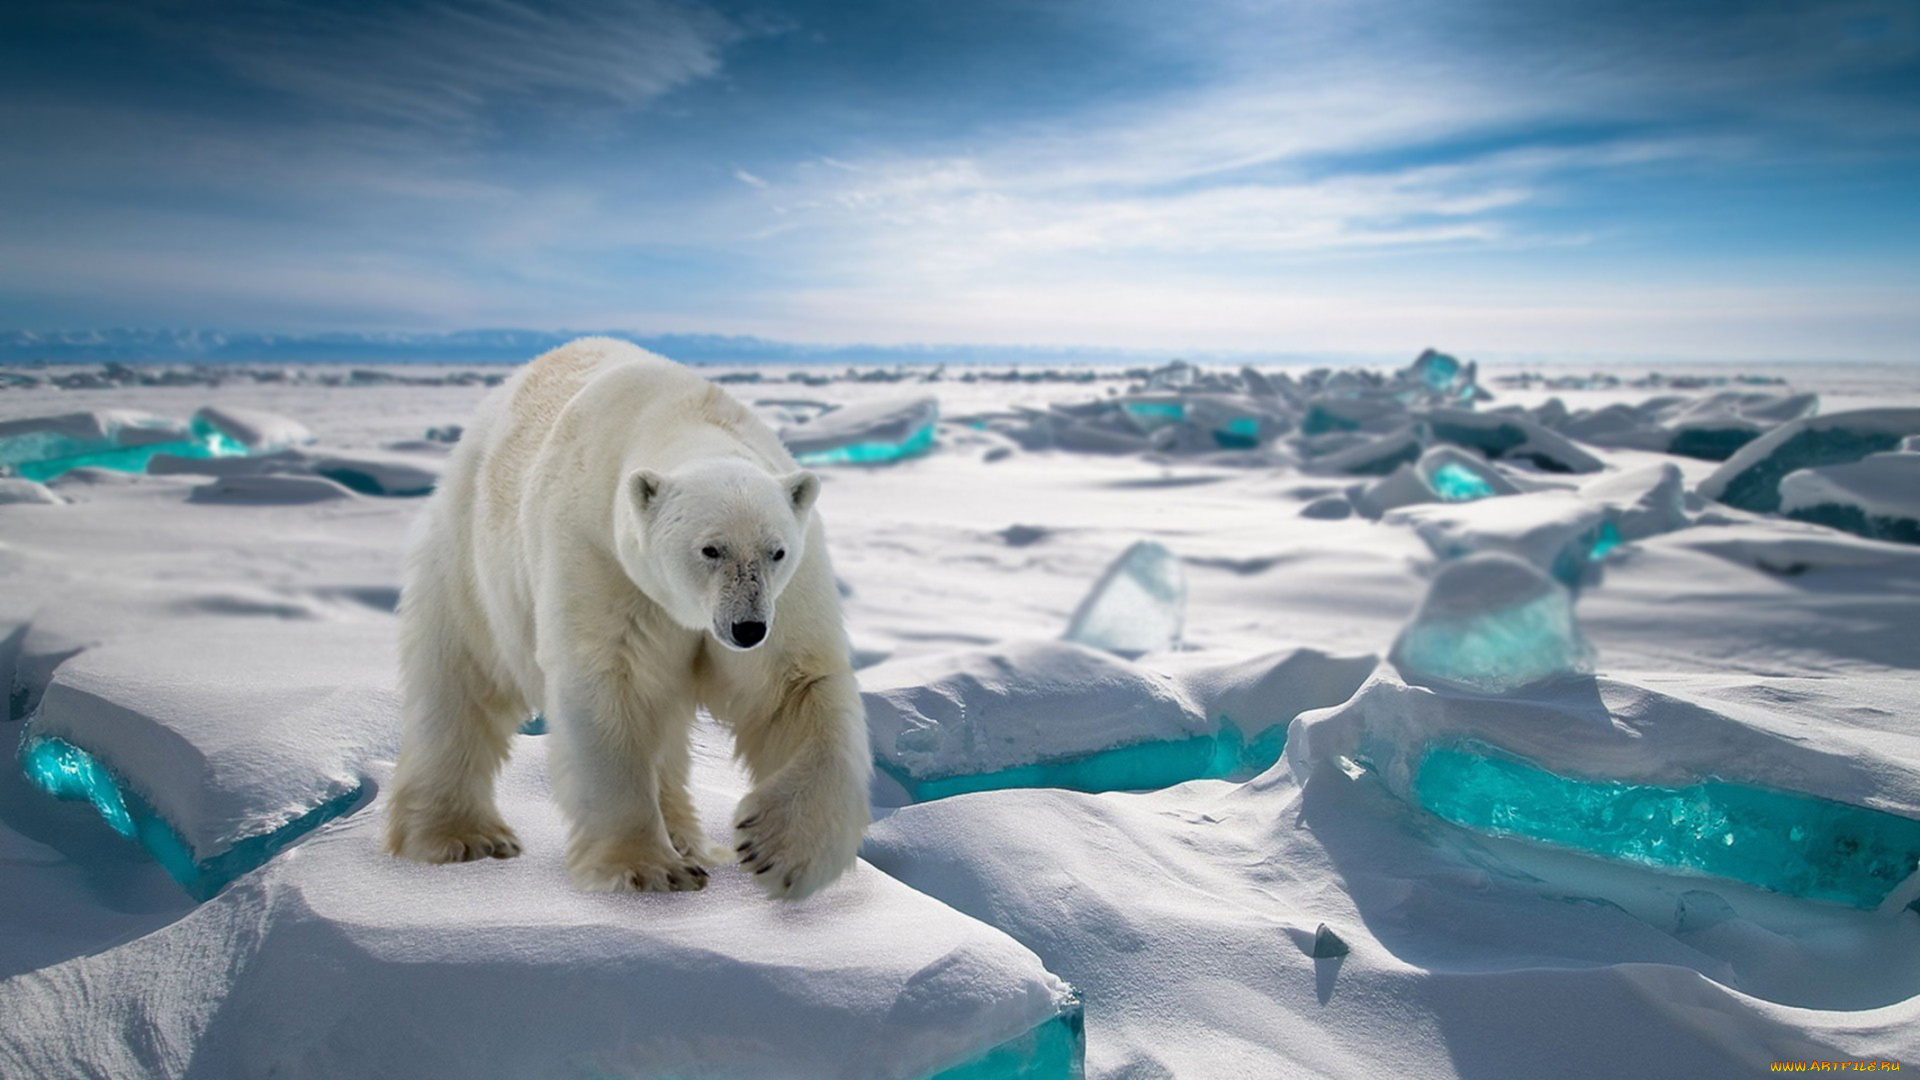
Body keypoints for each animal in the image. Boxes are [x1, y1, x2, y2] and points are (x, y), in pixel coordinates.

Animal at [384, 338, 879, 899]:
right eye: (710, 549)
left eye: (776, 551)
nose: (747, 628)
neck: (681, 416)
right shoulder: (601, 559)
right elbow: (610, 686)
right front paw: (648, 868)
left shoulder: (789, 592)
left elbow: (794, 686)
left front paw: (777, 848)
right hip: (472, 562)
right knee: (458, 684)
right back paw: (460, 835)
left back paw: (687, 837)